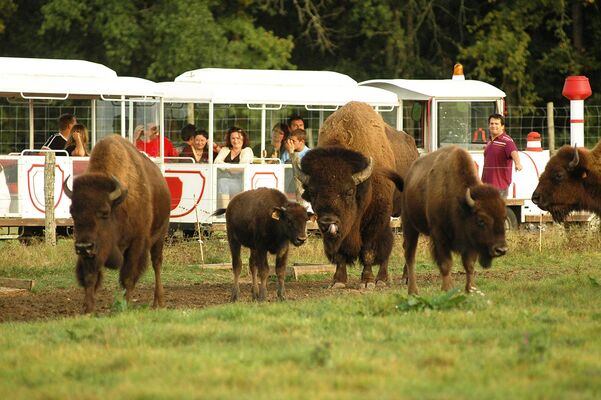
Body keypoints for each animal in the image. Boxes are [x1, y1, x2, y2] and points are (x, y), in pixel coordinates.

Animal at [63, 136, 171, 314]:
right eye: (72, 212)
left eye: (105, 212)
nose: (84, 246)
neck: (118, 205)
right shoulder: (90, 252)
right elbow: (90, 277)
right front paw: (88, 309)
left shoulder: (136, 244)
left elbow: (128, 276)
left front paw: (123, 307)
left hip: (160, 236)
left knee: (157, 263)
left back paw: (159, 303)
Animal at [296, 100, 418, 288]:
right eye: (313, 192)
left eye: (349, 191)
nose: (327, 222)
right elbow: (340, 253)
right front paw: (338, 281)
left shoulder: (374, 220)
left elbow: (368, 250)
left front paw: (367, 281)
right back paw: (383, 278)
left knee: (404, 244)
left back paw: (403, 278)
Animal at [400, 146, 508, 294]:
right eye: (481, 220)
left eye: (504, 218)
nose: (501, 249)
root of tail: (409, 176)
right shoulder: (439, 235)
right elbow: (446, 263)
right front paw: (447, 289)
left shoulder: (470, 240)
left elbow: (469, 265)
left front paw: (471, 289)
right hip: (409, 225)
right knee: (410, 256)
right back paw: (413, 291)